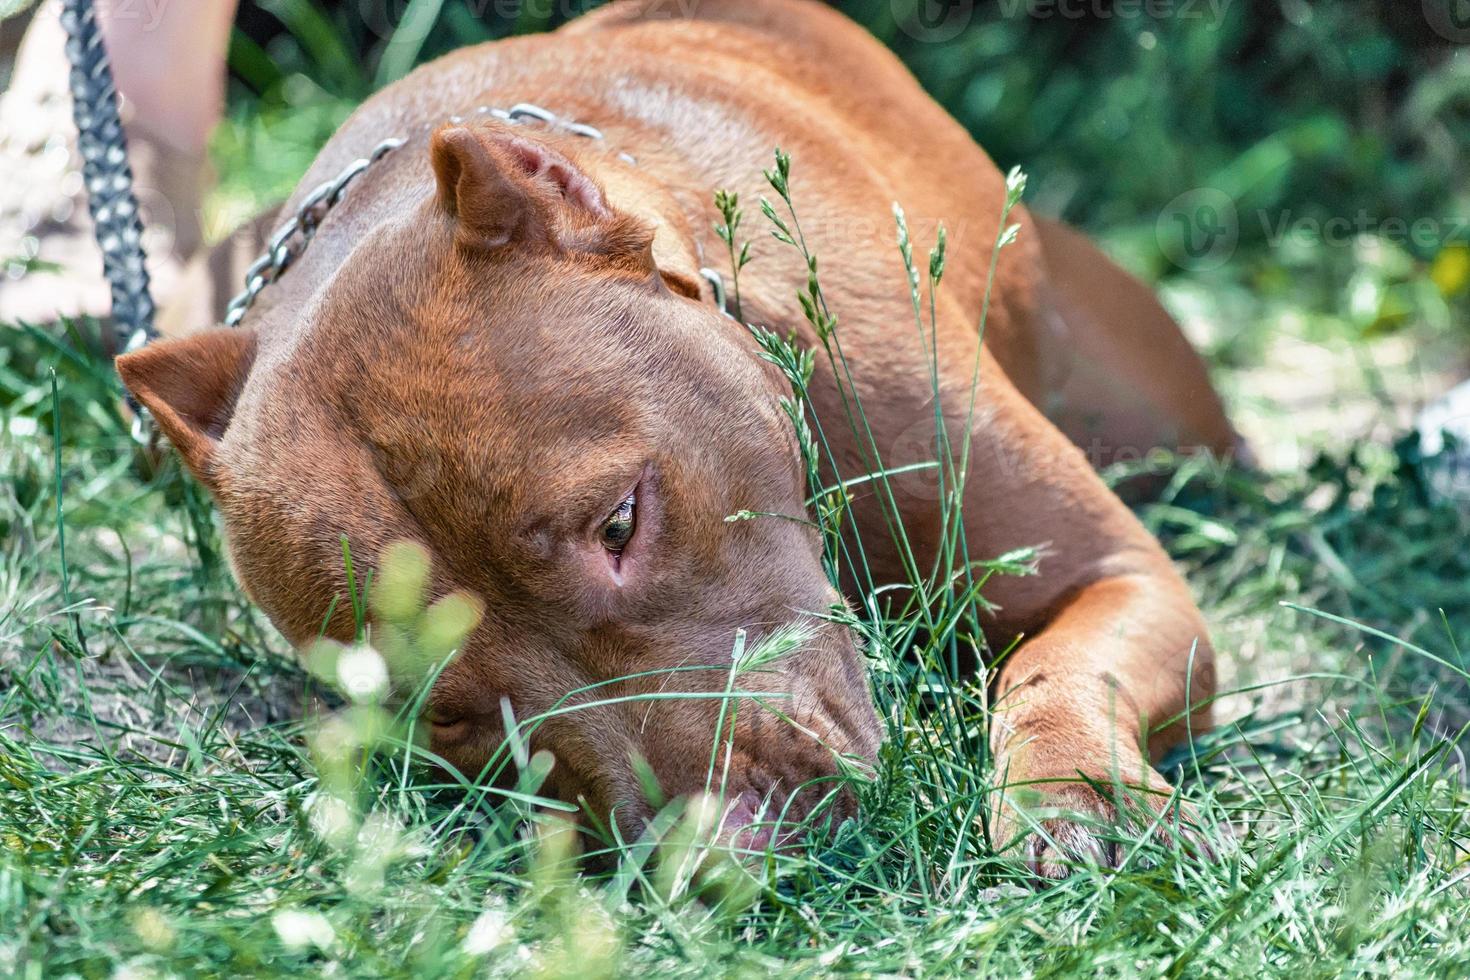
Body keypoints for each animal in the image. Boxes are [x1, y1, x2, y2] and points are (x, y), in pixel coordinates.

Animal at [120, 0, 1234, 875]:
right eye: (448, 713)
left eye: (618, 523)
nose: (722, 858)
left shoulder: (1113, 569)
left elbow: (1057, 669)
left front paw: (1080, 796)